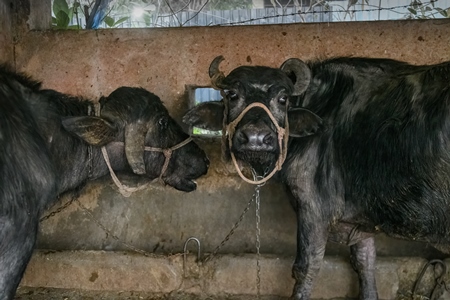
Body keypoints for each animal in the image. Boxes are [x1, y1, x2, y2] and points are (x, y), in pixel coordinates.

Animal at [183, 55, 450, 298]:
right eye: (231, 95)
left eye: (283, 99)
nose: (256, 138)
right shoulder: (361, 222)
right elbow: (365, 263)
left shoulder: (314, 209)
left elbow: (306, 267)